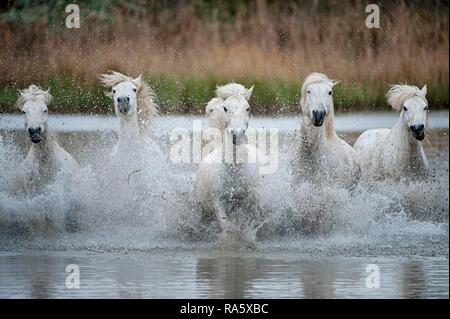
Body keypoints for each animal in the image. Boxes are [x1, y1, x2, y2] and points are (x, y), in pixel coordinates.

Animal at [193, 82, 264, 240]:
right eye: (225, 108)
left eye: (248, 108)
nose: (237, 134)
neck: (235, 171)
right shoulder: (219, 203)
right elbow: (228, 228)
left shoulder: (249, 202)